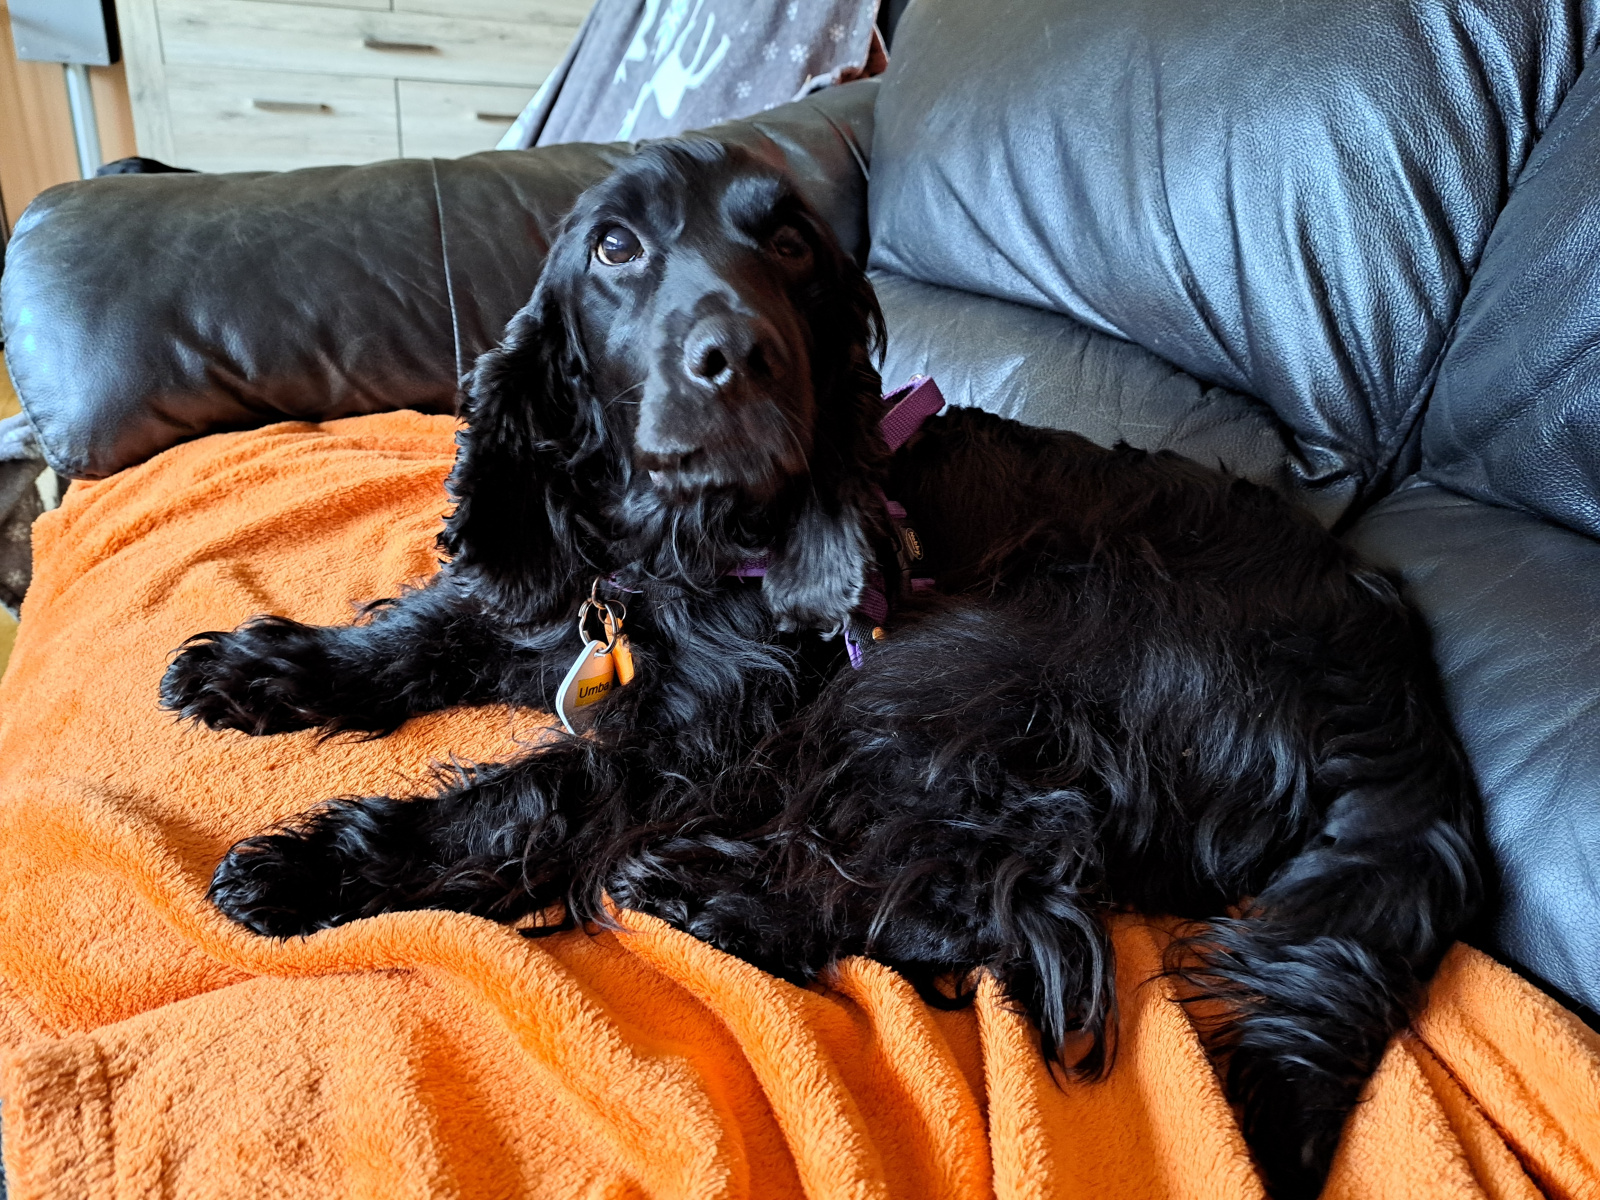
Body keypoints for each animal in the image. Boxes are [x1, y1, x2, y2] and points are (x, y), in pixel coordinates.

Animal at [161, 139, 1483, 1199]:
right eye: (615, 246)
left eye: (790, 242)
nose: (734, 356)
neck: (677, 546)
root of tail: (1402, 695)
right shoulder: (569, 612)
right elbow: (418, 635)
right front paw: (261, 668)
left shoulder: (712, 733)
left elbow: (527, 797)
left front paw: (312, 868)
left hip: (943, 674)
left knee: (1019, 914)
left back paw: (707, 898)